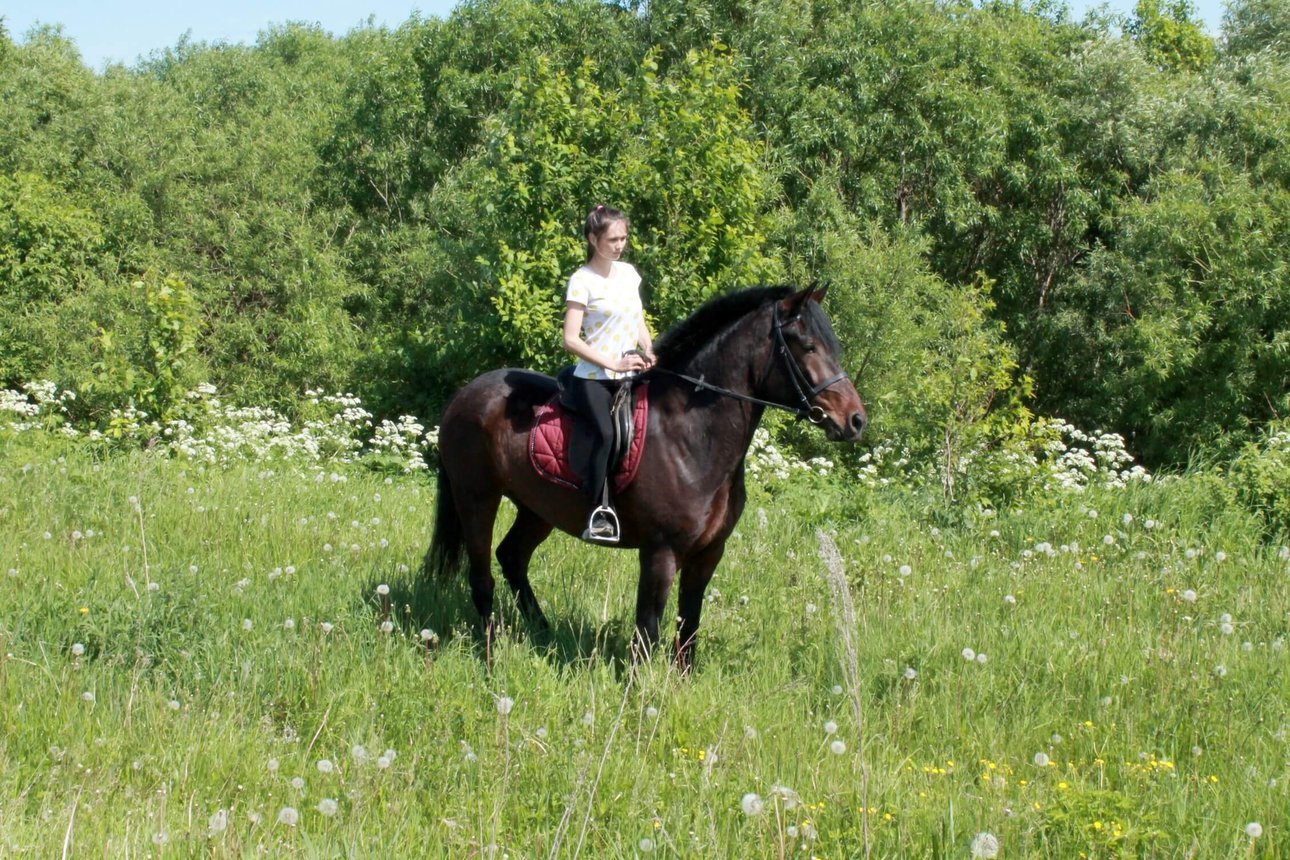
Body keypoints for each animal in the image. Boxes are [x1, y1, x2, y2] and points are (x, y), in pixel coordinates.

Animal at [430, 286, 866, 670]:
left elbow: (689, 626)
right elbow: (648, 630)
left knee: (512, 557)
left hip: (538, 509)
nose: (856, 420)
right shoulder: (661, 551)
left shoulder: (709, 553)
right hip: (477, 498)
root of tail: (464, 394)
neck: (692, 433)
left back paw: (543, 634)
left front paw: (681, 687)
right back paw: (492, 659)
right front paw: (639, 694)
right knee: (482, 577)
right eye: (808, 347)